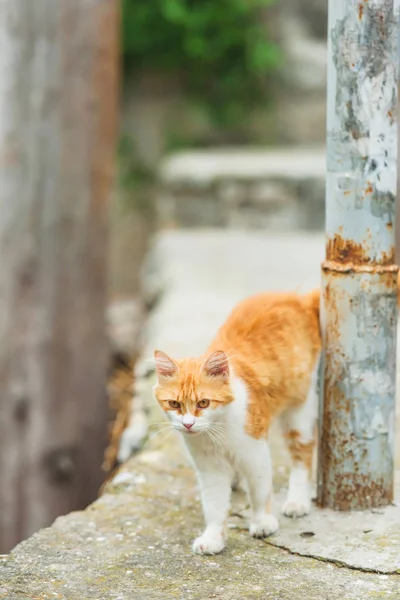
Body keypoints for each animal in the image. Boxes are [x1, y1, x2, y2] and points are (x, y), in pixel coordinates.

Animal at [154, 288, 322, 556]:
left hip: (299, 410)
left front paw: (263, 523)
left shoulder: (255, 455)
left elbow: (260, 492)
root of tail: (298, 298)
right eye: (174, 404)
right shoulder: (209, 468)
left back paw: (297, 501)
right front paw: (213, 538)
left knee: (302, 457)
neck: (217, 432)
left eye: (203, 403)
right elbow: (214, 505)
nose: (188, 424)